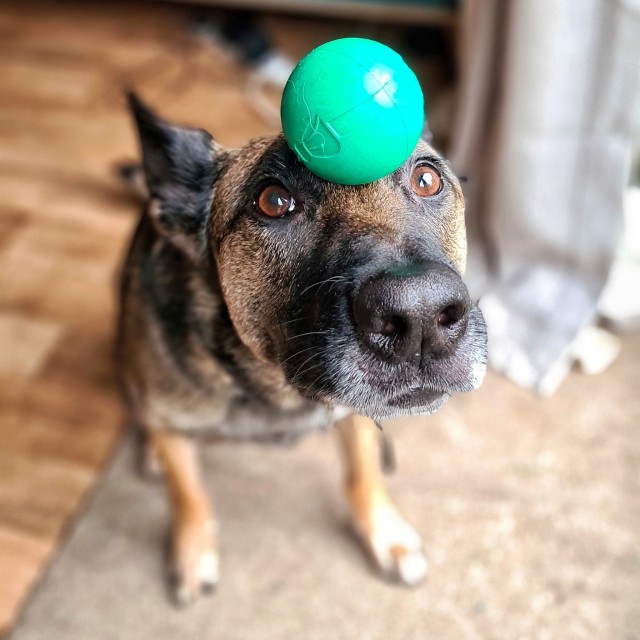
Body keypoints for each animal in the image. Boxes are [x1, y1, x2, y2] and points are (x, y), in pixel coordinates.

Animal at [117, 94, 488, 604]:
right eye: (274, 202)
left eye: (426, 179)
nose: (420, 319)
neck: (275, 386)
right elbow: (188, 493)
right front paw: (194, 549)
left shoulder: (355, 414)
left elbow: (363, 470)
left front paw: (384, 532)